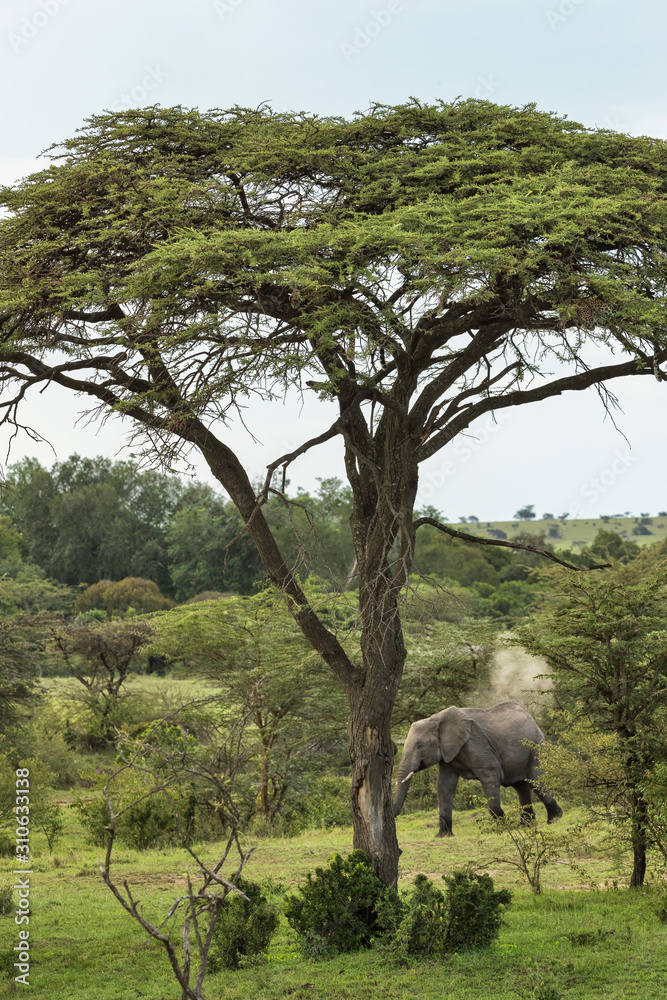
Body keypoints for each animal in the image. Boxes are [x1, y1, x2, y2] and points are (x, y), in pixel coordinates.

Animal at [393, 701, 562, 835]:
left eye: (420, 746)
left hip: (536, 746)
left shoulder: (474, 744)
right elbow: (444, 785)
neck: (435, 719)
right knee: (521, 786)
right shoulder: (448, 753)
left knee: (535, 781)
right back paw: (526, 825)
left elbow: (491, 773)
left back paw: (555, 819)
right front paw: (443, 836)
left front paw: (505, 826)